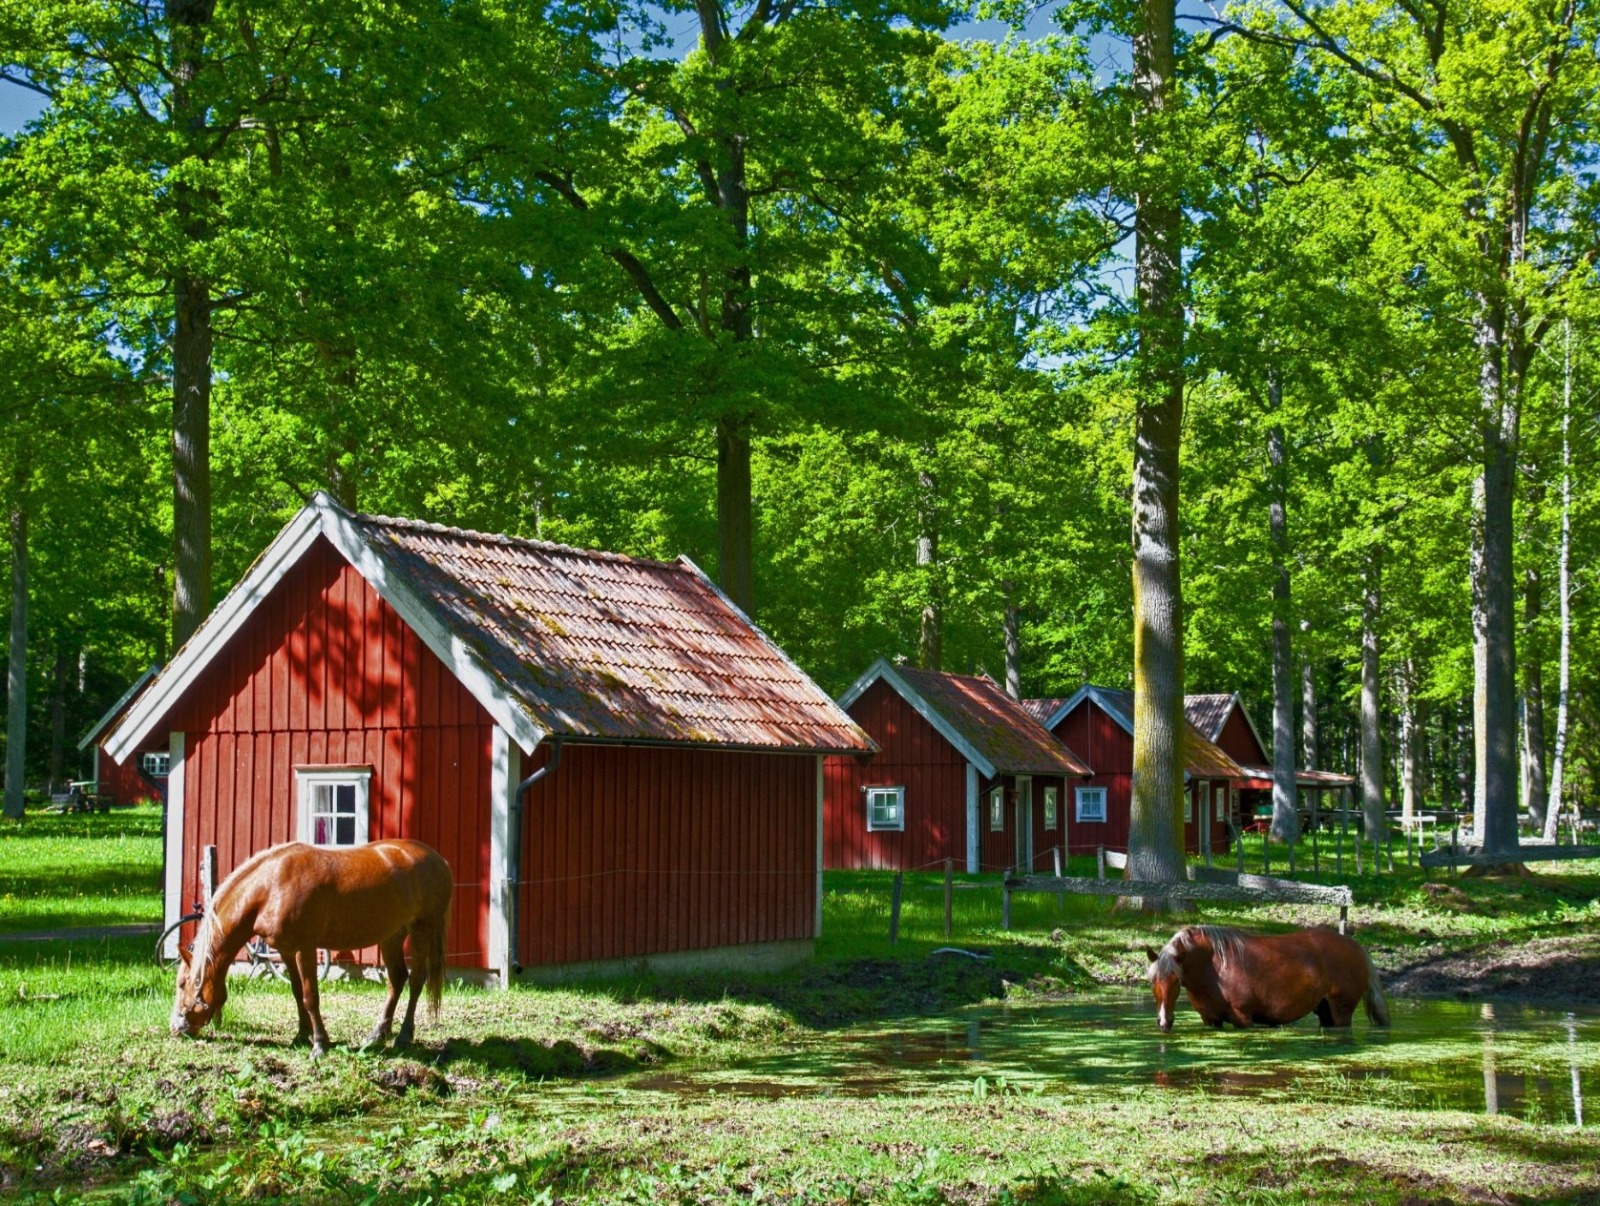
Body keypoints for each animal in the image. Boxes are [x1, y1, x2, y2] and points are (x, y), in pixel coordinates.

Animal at [172, 838, 454, 1049]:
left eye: (183, 984)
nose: (176, 1027)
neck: (270, 888)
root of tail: (439, 860)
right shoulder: (286, 950)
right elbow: (297, 991)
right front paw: (301, 1035)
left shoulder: (305, 948)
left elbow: (310, 996)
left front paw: (319, 1043)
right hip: (391, 936)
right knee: (397, 980)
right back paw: (377, 1034)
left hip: (422, 929)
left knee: (416, 981)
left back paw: (404, 1036)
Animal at [1139, 927, 1388, 1030]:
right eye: (1153, 982)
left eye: (1175, 981)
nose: (1164, 1022)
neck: (1214, 966)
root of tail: (1357, 947)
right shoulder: (1211, 1021)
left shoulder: (1244, 1019)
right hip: (1324, 1010)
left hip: (1341, 1011)